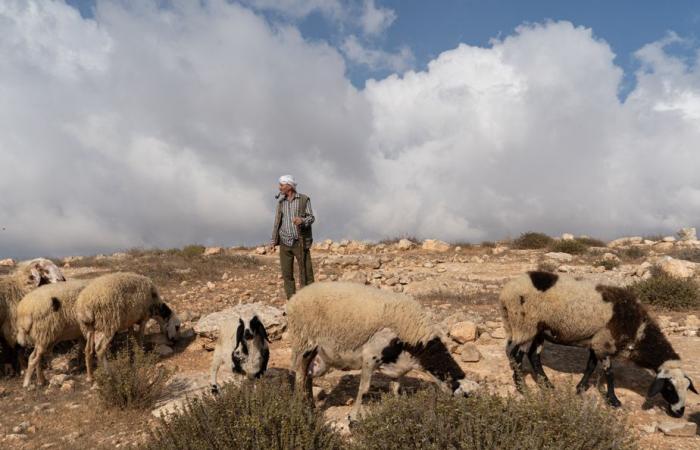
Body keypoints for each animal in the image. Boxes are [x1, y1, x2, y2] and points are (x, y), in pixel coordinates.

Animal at [288, 282, 478, 422]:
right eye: (465, 395)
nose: (470, 417)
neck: (417, 341)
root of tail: (296, 296)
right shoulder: (370, 356)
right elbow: (363, 389)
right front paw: (353, 417)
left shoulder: (399, 366)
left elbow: (396, 388)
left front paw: (398, 410)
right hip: (304, 343)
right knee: (299, 377)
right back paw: (300, 409)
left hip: (321, 359)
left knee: (308, 377)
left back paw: (311, 407)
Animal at [500, 270, 696, 418]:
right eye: (669, 387)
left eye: (687, 387)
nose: (679, 413)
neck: (637, 330)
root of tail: (506, 291)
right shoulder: (605, 344)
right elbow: (609, 374)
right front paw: (613, 401)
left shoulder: (597, 343)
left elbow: (590, 366)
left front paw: (580, 388)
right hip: (525, 326)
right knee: (518, 356)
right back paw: (522, 388)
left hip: (538, 330)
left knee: (533, 355)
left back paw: (547, 384)